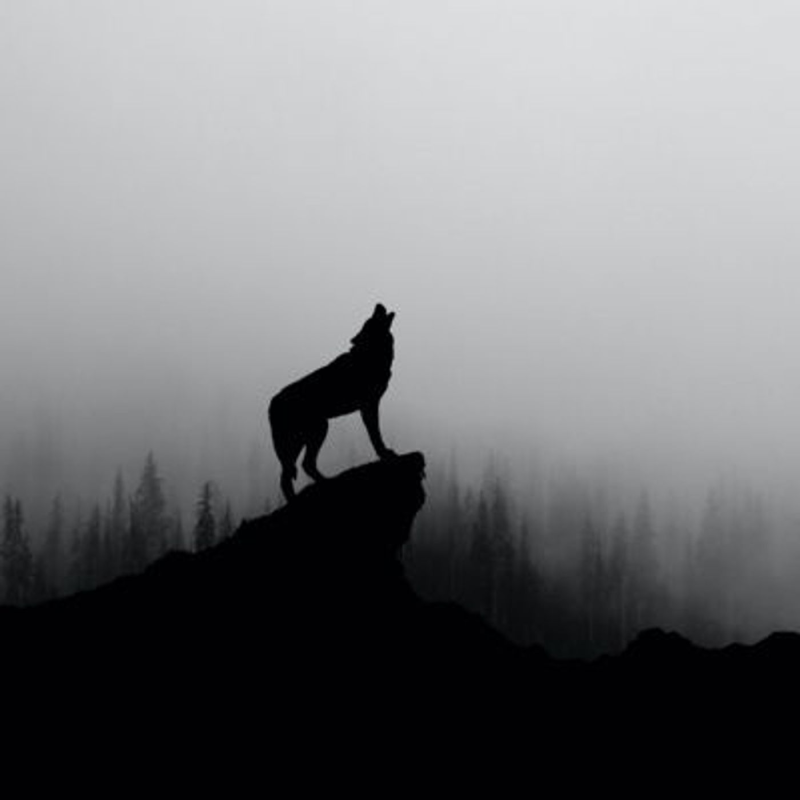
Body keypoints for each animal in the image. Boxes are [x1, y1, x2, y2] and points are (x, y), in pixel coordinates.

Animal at [269, 303, 397, 501]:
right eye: (371, 318)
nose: (378, 303)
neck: (368, 356)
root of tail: (272, 402)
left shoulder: (369, 406)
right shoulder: (369, 406)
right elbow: (375, 435)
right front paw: (384, 454)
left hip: (304, 438)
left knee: (290, 473)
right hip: (317, 431)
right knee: (300, 467)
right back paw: (323, 484)